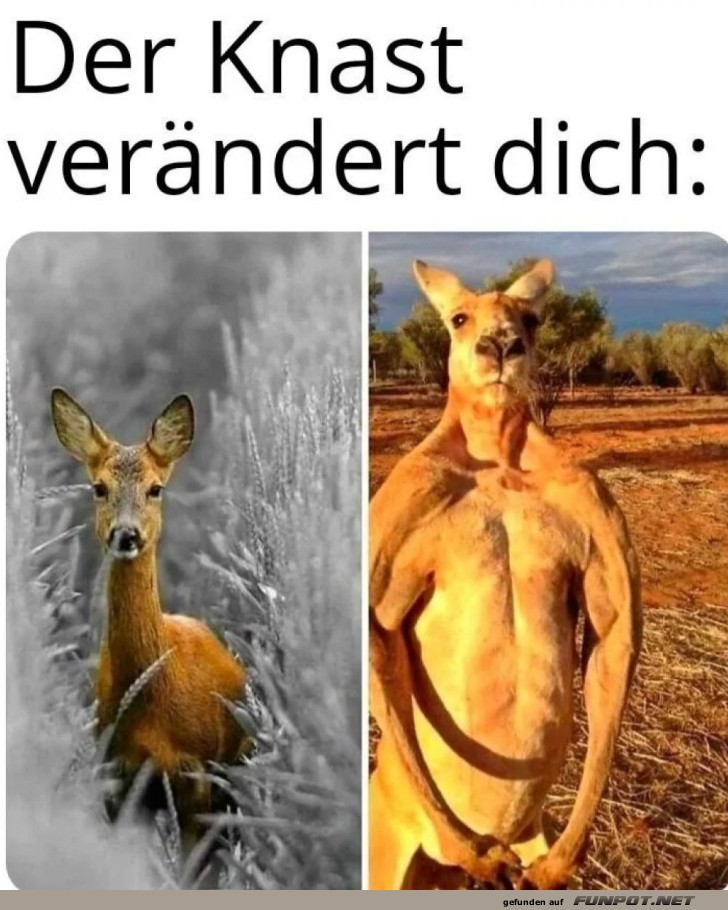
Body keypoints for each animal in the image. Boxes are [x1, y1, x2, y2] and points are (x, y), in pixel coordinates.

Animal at [369, 259, 642, 889]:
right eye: (458, 318)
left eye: (532, 319)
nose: (500, 346)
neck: (497, 456)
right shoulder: (404, 499)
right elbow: (377, 630)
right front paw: (471, 847)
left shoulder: (590, 500)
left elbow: (612, 633)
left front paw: (563, 861)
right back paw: (473, 848)